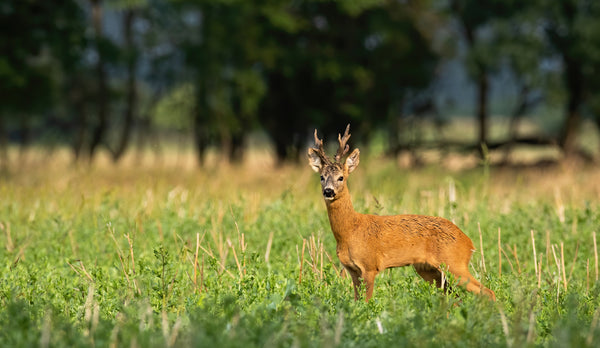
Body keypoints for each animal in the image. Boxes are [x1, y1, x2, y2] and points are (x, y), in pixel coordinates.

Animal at [308, 125, 494, 302]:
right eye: (322, 177)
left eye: (341, 177)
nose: (328, 191)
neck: (350, 231)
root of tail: (468, 242)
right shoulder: (352, 270)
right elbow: (355, 302)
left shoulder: (370, 266)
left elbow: (366, 302)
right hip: (428, 269)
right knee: (454, 296)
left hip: (454, 263)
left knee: (487, 292)